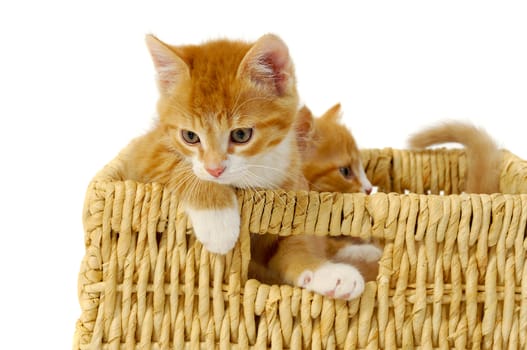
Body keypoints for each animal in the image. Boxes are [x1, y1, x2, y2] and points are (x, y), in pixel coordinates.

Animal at [121, 32, 374, 300]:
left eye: (241, 134)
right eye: (190, 136)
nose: (215, 170)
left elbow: (299, 245)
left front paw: (328, 273)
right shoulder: (143, 153)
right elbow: (180, 168)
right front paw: (218, 223)